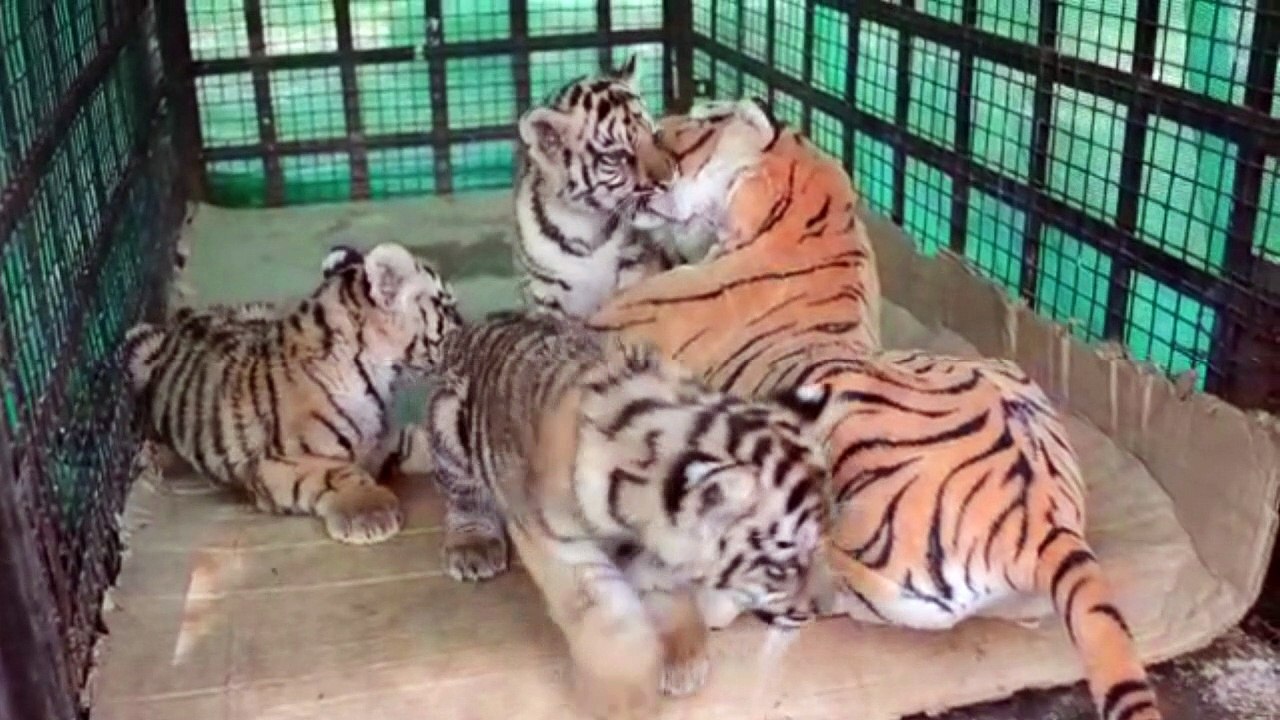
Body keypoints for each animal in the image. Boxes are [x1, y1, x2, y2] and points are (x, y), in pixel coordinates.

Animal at [122, 242, 462, 545]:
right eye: (447, 308)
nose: (465, 325)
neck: (375, 374)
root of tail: (182, 314)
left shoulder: (383, 440)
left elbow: (425, 441)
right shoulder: (276, 463)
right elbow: (335, 472)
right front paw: (370, 513)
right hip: (137, 344)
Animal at [415, 309, 830, 719]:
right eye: (779, 568)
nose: (817, 611)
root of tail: (471, 326)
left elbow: (666, 591)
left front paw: (683, 659)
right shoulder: (562, 546)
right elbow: (608, 619)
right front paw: (627, 701)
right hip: (450, 429)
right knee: (462, 496)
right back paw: (473, 545)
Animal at [512, 53, 681, 319]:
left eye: (655, 137)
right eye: (618, 156)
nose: (670, 180)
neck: (584, 225)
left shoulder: (637, 267)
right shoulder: (543, 293)